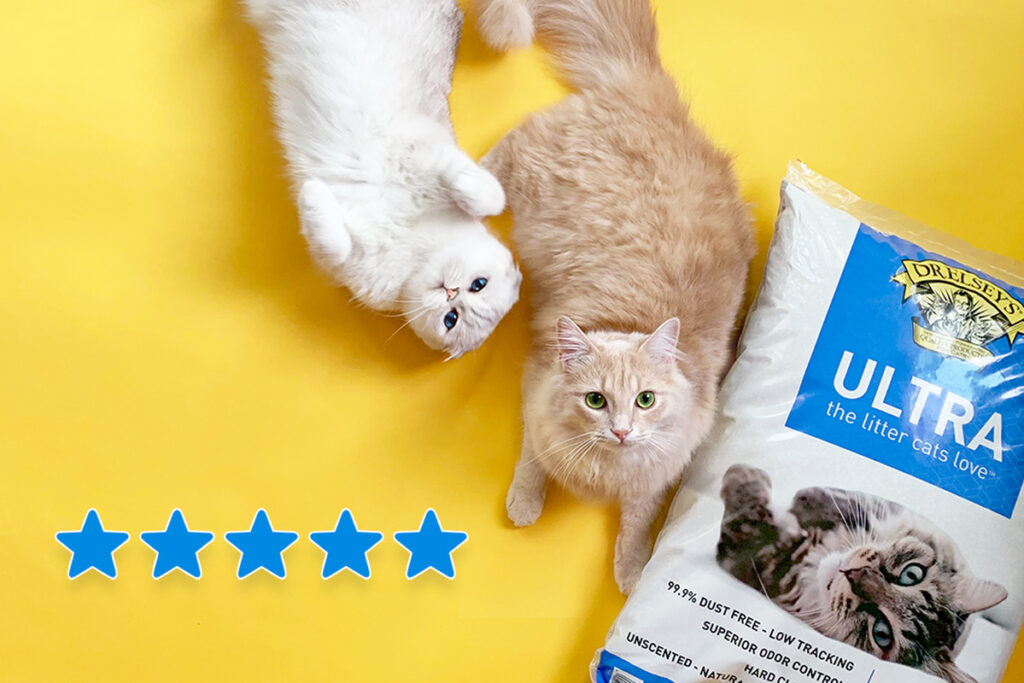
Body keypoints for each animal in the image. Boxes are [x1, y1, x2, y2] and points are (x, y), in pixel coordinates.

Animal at [245, 0, 520, 360]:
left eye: (451, 319)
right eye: (478, 284)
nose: (451, 291)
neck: (412, 241)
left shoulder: (335, 263)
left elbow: (331, 242)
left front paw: (311, 194)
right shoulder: (435, 146)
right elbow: (489, 193)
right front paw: (454, 177)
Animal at [475, 0, 757, 593]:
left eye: (645, 400)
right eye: (596, 400)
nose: (622, 431)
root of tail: (651, 87)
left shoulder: (656, 479)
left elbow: (638, 525)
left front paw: (632, 572)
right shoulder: (535, 394)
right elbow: (531, 460)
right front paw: (524, 504)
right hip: (530, 169)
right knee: (494, 160)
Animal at [720, 464, 1007, 683]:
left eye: (882, 633)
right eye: (911, 575)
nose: (854, 576)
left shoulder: (763, 562)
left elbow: (747, 517)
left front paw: (741, 476)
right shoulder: (878, 509)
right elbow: (833, 501)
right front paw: (803, 501)